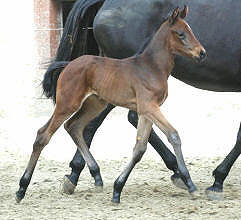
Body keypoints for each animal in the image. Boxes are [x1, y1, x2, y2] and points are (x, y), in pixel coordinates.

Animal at [40, 0, 240, 200]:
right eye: (181, 34)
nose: (202, 53)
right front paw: (216, 181)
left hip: (105, 94)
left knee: (87, 124)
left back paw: (81, 175)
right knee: (96, 122)